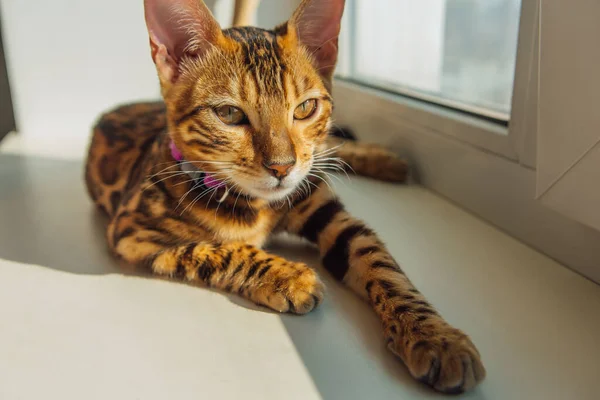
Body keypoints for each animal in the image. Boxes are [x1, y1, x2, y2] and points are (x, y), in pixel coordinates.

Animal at [84, 0, 486, 394]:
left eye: (305, 108)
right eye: (229, 113)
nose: (282, 167)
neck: (256, 206)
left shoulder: (326, 208)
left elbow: (382, 265)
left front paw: (434, 335)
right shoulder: (132, 230)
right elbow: (216, 248)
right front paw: (287, 276)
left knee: (333, 147)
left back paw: (383, 159)